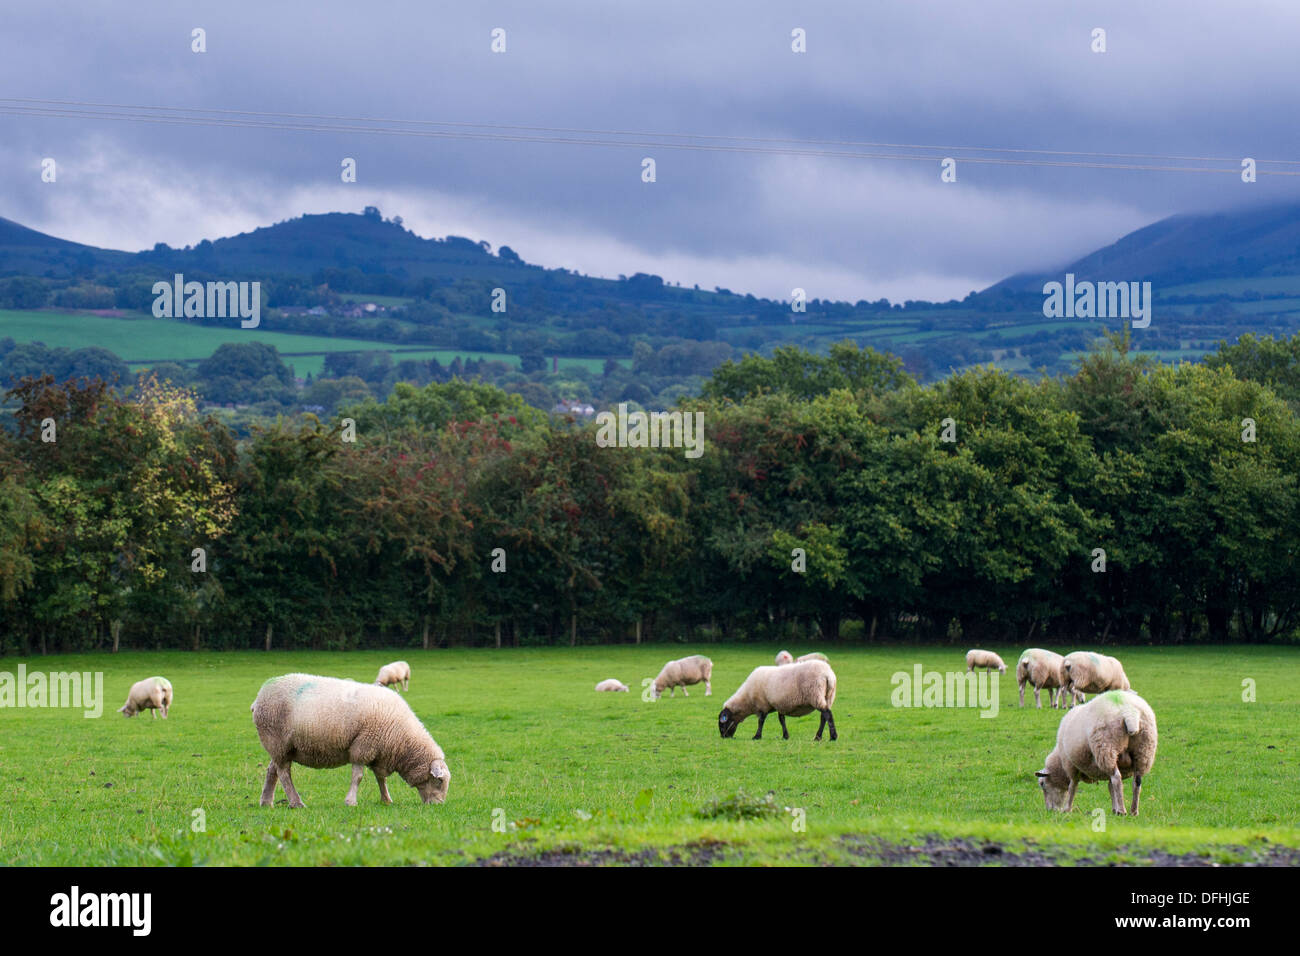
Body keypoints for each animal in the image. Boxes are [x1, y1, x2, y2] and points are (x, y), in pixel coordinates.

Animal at [250, 671, 449, 806]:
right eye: (439, 781)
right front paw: (351, 801)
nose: (438, 805)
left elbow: (381, 778)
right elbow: (358, 777)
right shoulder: (363, 746)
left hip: (281, 747)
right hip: (276, 741)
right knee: (284, 773)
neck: (403, 739)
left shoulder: (378, 752)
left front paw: (386, 799)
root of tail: (258, 698)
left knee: (272, 770)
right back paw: (296, 802)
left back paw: (266, 801)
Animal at [1034, 686, 1159, 816]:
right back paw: (1133, 811)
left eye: (1042, 784)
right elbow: (1110, 787)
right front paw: (1114, 808)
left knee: (1117, 779)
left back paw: (1122, 810)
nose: (1049, 810)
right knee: (1136, 781)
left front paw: (1067, 808)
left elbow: (1073, 786)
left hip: (1106, 748)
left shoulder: (1071, 765)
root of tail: (1129, 711)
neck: (1059, 760)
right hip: (1144, 751)